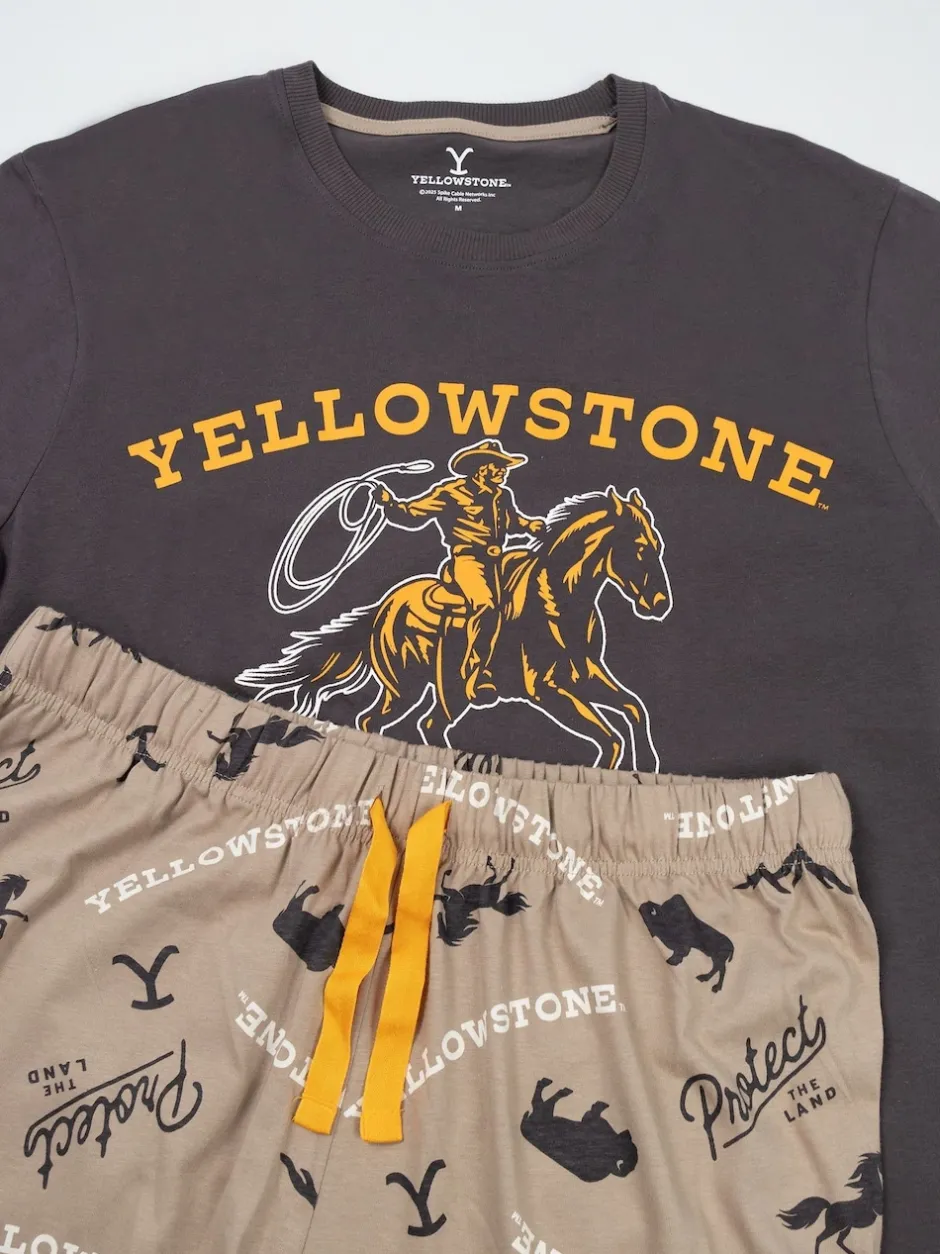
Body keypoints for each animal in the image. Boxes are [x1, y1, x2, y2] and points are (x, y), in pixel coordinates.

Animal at [237, 486, 672, 770]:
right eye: (639, 548)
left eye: (658, 546)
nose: (660, 603)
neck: (557, 604)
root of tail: (384, 607)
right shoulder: (548, 691)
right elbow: (610, 740)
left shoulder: (586, 675)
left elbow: (634, 709)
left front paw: (646, 767)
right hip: (409, 688)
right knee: (382, 722)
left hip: (442, 693)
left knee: (419, 724)